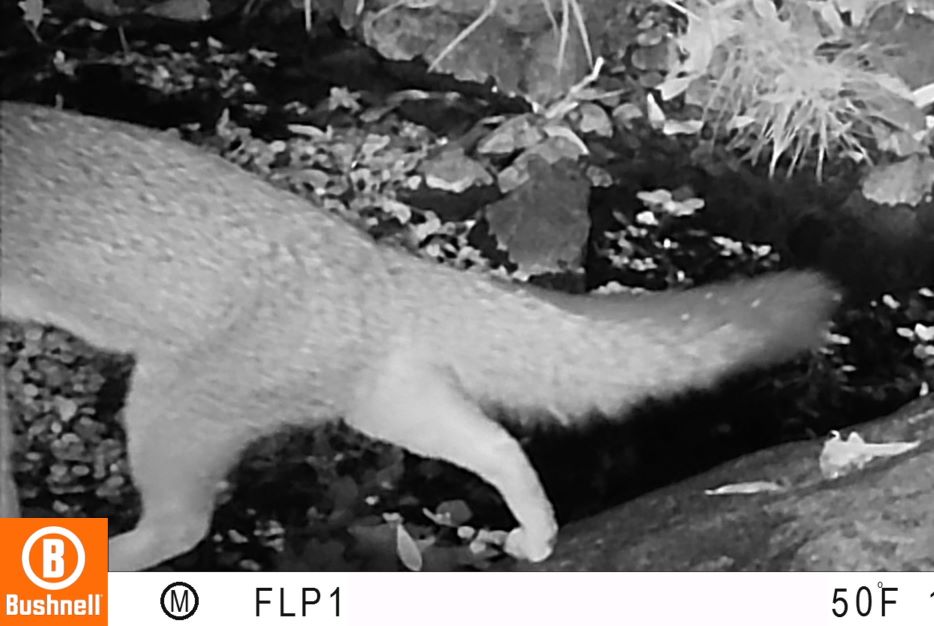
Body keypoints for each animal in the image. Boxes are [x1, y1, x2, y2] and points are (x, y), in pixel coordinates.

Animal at [0, 101, 839, 570]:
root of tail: (377, 264)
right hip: (390, 403)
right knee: (499, 445)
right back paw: (537, 538)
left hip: (171, 403)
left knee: (179, 522)